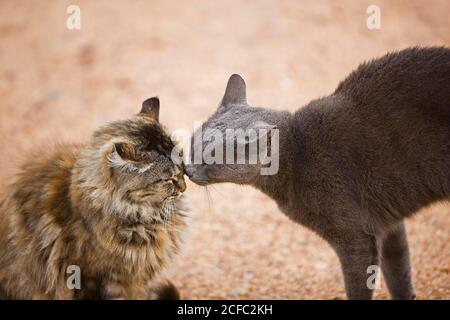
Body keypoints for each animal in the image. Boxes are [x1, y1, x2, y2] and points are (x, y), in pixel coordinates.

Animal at [185, 47, 448, 300]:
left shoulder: (355, 237)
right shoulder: (389, 223)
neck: (295, 156)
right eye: (192, 144)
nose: (188, 169)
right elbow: (399, 273)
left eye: (210, 158)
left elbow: (359, 286)